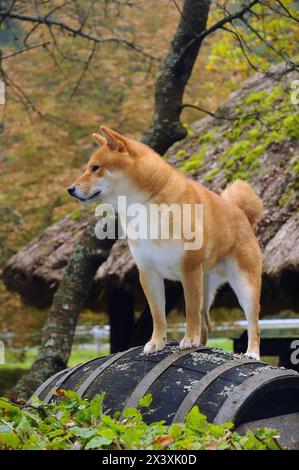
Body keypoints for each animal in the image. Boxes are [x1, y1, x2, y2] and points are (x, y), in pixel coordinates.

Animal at [68, 126, 264, 358]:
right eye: (88, 168)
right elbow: (158, 314)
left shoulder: (189, 268)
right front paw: (157, 343)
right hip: (206, 283)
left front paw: (189, 340)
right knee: (206, 323)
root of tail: (243, 214)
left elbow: (190, 311)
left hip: (244, 284)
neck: (145, 204)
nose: (70, 189)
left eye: (95, 168)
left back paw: (251, 353)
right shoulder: (148, 272)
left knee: (253, 323)